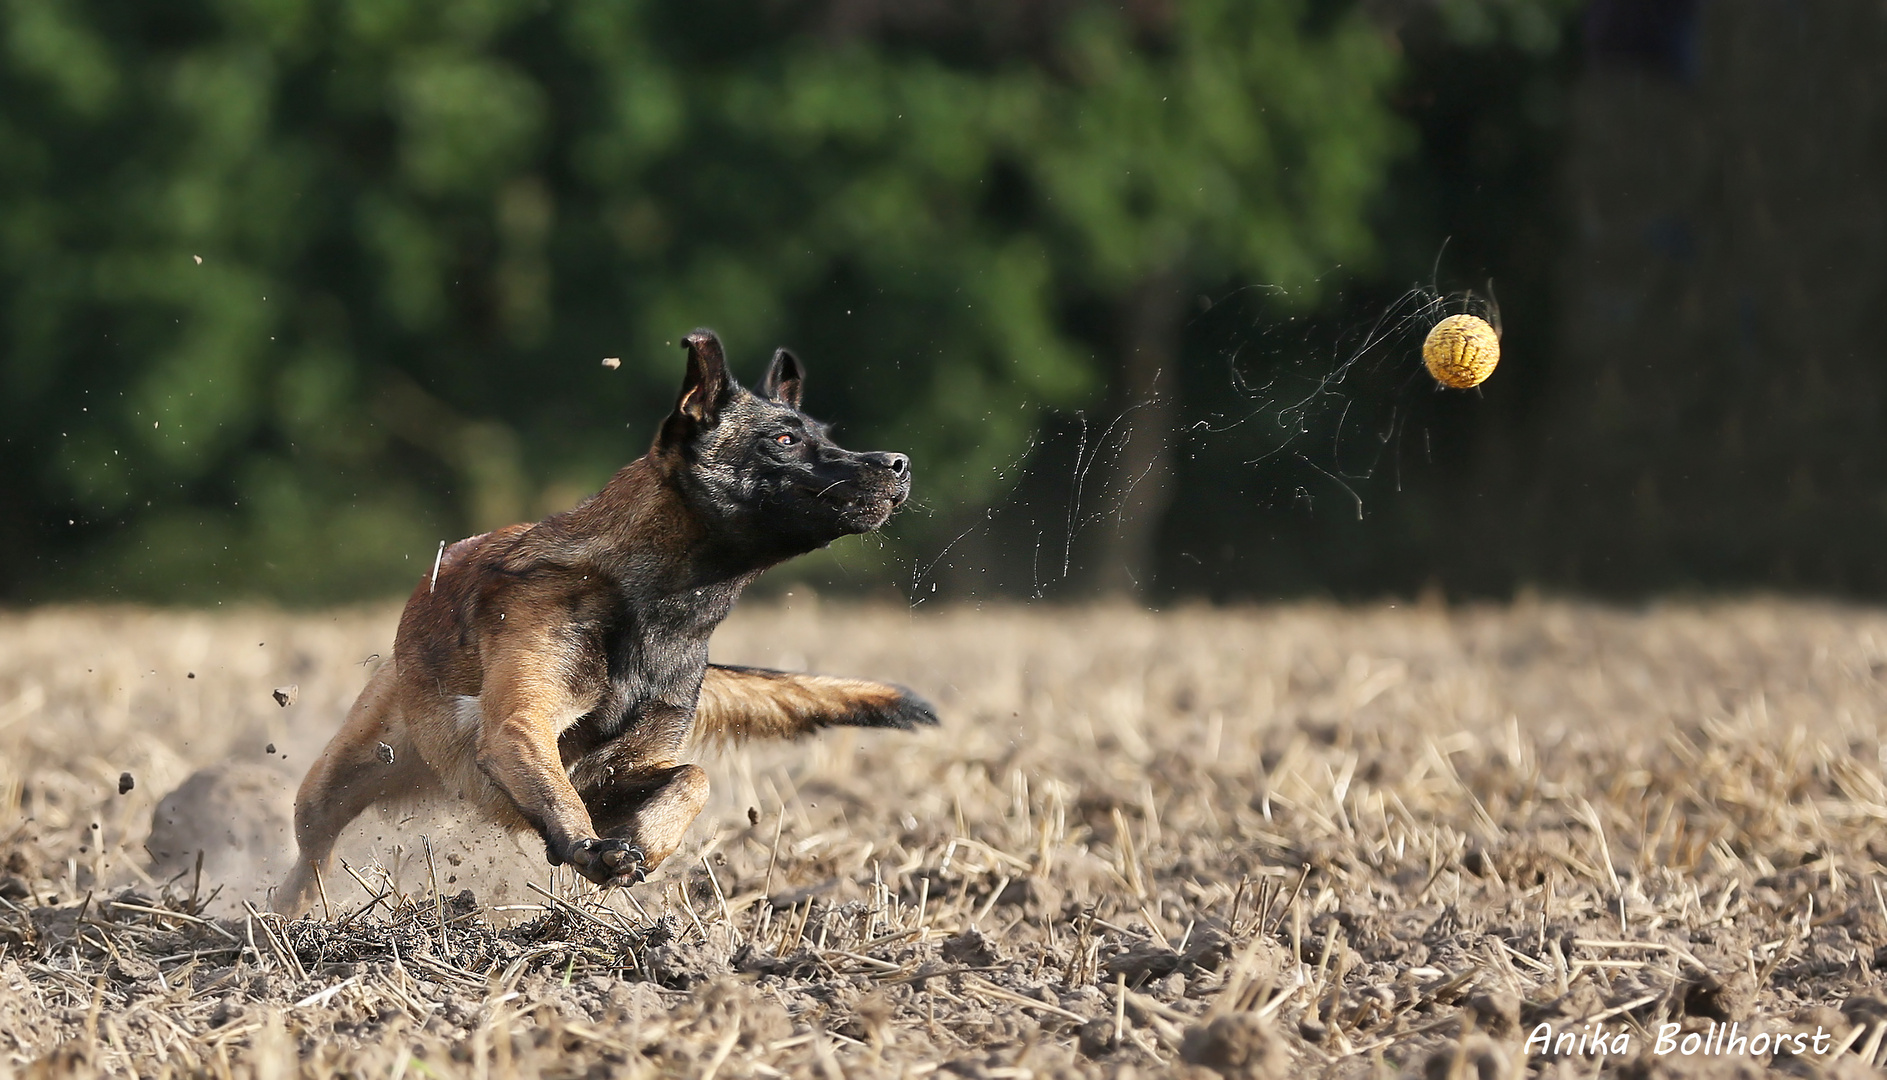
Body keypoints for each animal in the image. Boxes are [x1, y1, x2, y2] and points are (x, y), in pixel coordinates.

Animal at [275, 326, 935, 910]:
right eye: (784, 440)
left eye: (822, 434)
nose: (899, 462)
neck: (659, 611)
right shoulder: (521, 726)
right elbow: (564, 796)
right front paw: (588, 848)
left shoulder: (613, 773)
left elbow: (693, 778)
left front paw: (644, 841)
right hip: (340, 777)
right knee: (313, 851)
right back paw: (285, 917)